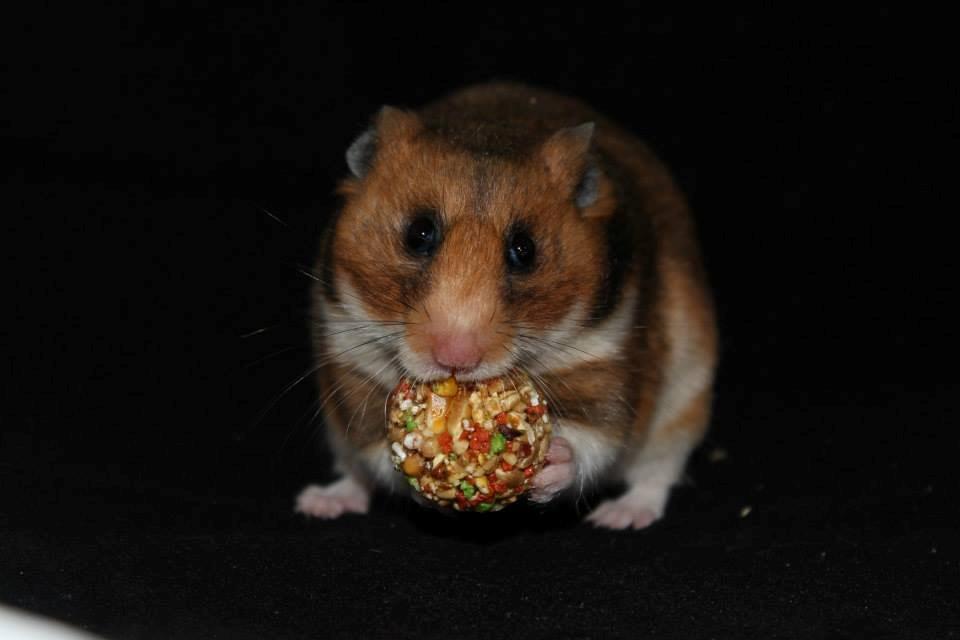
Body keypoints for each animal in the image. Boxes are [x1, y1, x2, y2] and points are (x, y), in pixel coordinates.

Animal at [295, 83, 717, 529]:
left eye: (525, 249)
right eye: (418, 233)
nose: (456, 358)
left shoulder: (611, 351)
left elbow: (597, 434)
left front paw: (551, 462)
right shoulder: (348, 356)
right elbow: (374, 445)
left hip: (685, 400)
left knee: (657, 473)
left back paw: (619, 517)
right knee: (352, 475)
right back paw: (319, 503)